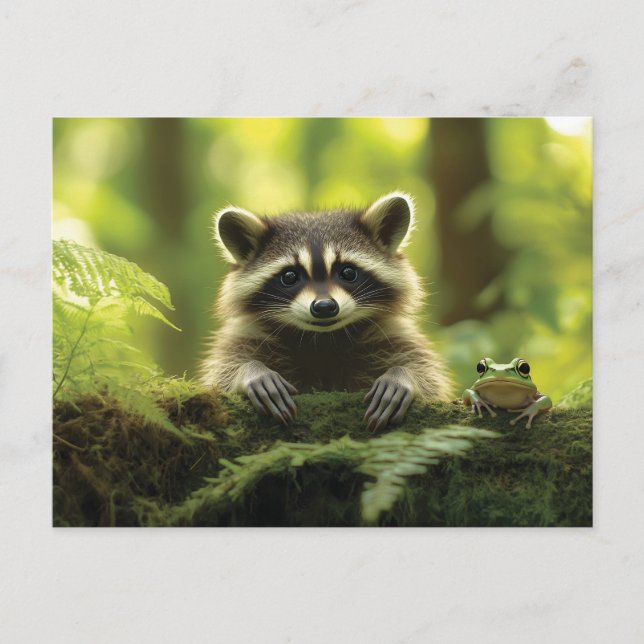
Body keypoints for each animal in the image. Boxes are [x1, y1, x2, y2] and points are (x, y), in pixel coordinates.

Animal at [200, 192, 452, 430]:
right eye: (290, 276)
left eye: (348, 272)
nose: (324, 307)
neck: (322, 338)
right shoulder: (248, 335)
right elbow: (221, 376)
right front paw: (251, 371)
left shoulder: (390, 333)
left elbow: (428, 378)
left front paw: (403, 376)